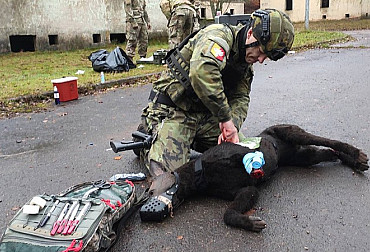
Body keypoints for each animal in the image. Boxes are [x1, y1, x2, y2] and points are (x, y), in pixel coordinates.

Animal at [143, 124, 368, 232]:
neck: (200, 175)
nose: (144, 213)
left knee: (331, 142)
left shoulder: (240, 162)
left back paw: (356, 154)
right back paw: (354, 162)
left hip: (295, 133)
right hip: (305, 157)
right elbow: (228, 214)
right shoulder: (247, 190)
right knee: (330, 152)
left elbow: (247, 156)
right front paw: (248, 222)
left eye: (149, 191)